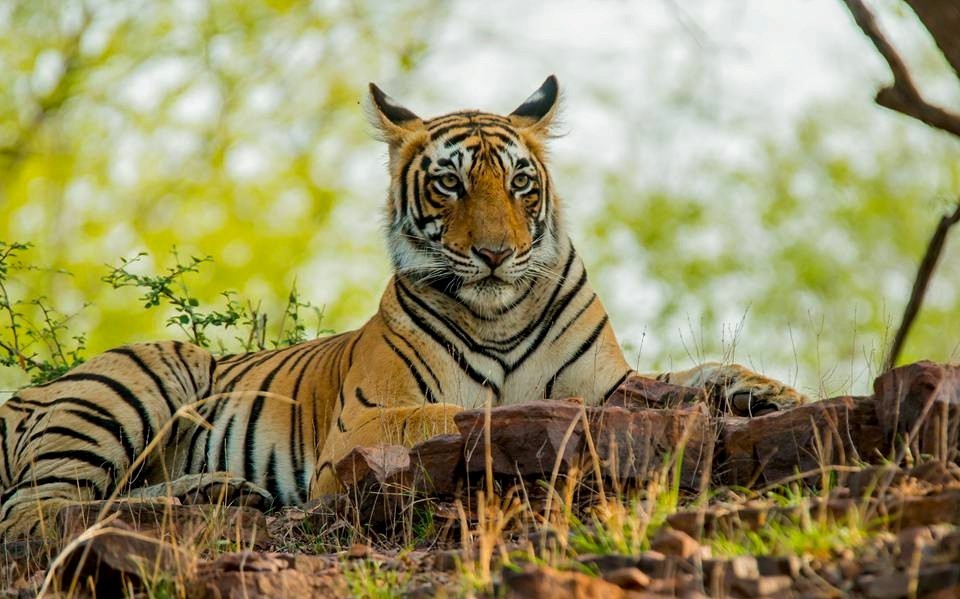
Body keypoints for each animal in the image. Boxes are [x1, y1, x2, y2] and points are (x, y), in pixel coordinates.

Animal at [0, 76, 805, 539]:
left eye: (519, 182)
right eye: (450, 183)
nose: (496, 254)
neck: (500, 310)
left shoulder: (609, 380)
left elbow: (695, 374)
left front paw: (767, 395)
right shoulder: (366, 421)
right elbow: (471, 413)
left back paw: (220, 493)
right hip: (132, 379)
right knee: (36, 514)